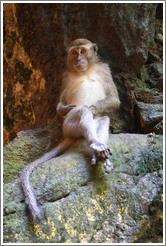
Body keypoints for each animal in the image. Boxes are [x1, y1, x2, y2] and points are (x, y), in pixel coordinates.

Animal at [20, 38, 120, 223]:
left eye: (82, 51)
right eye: (74, 52)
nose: (78, 59)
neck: (86, 71)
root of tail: (67, 135)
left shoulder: (105, 69)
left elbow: (114, 99)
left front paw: (94, 107)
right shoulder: (65, 76)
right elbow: (61, 104)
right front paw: (66, 109)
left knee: (103, 119)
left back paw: (99, 150)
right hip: (68, 127)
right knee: (82, 112)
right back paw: (94, 143)